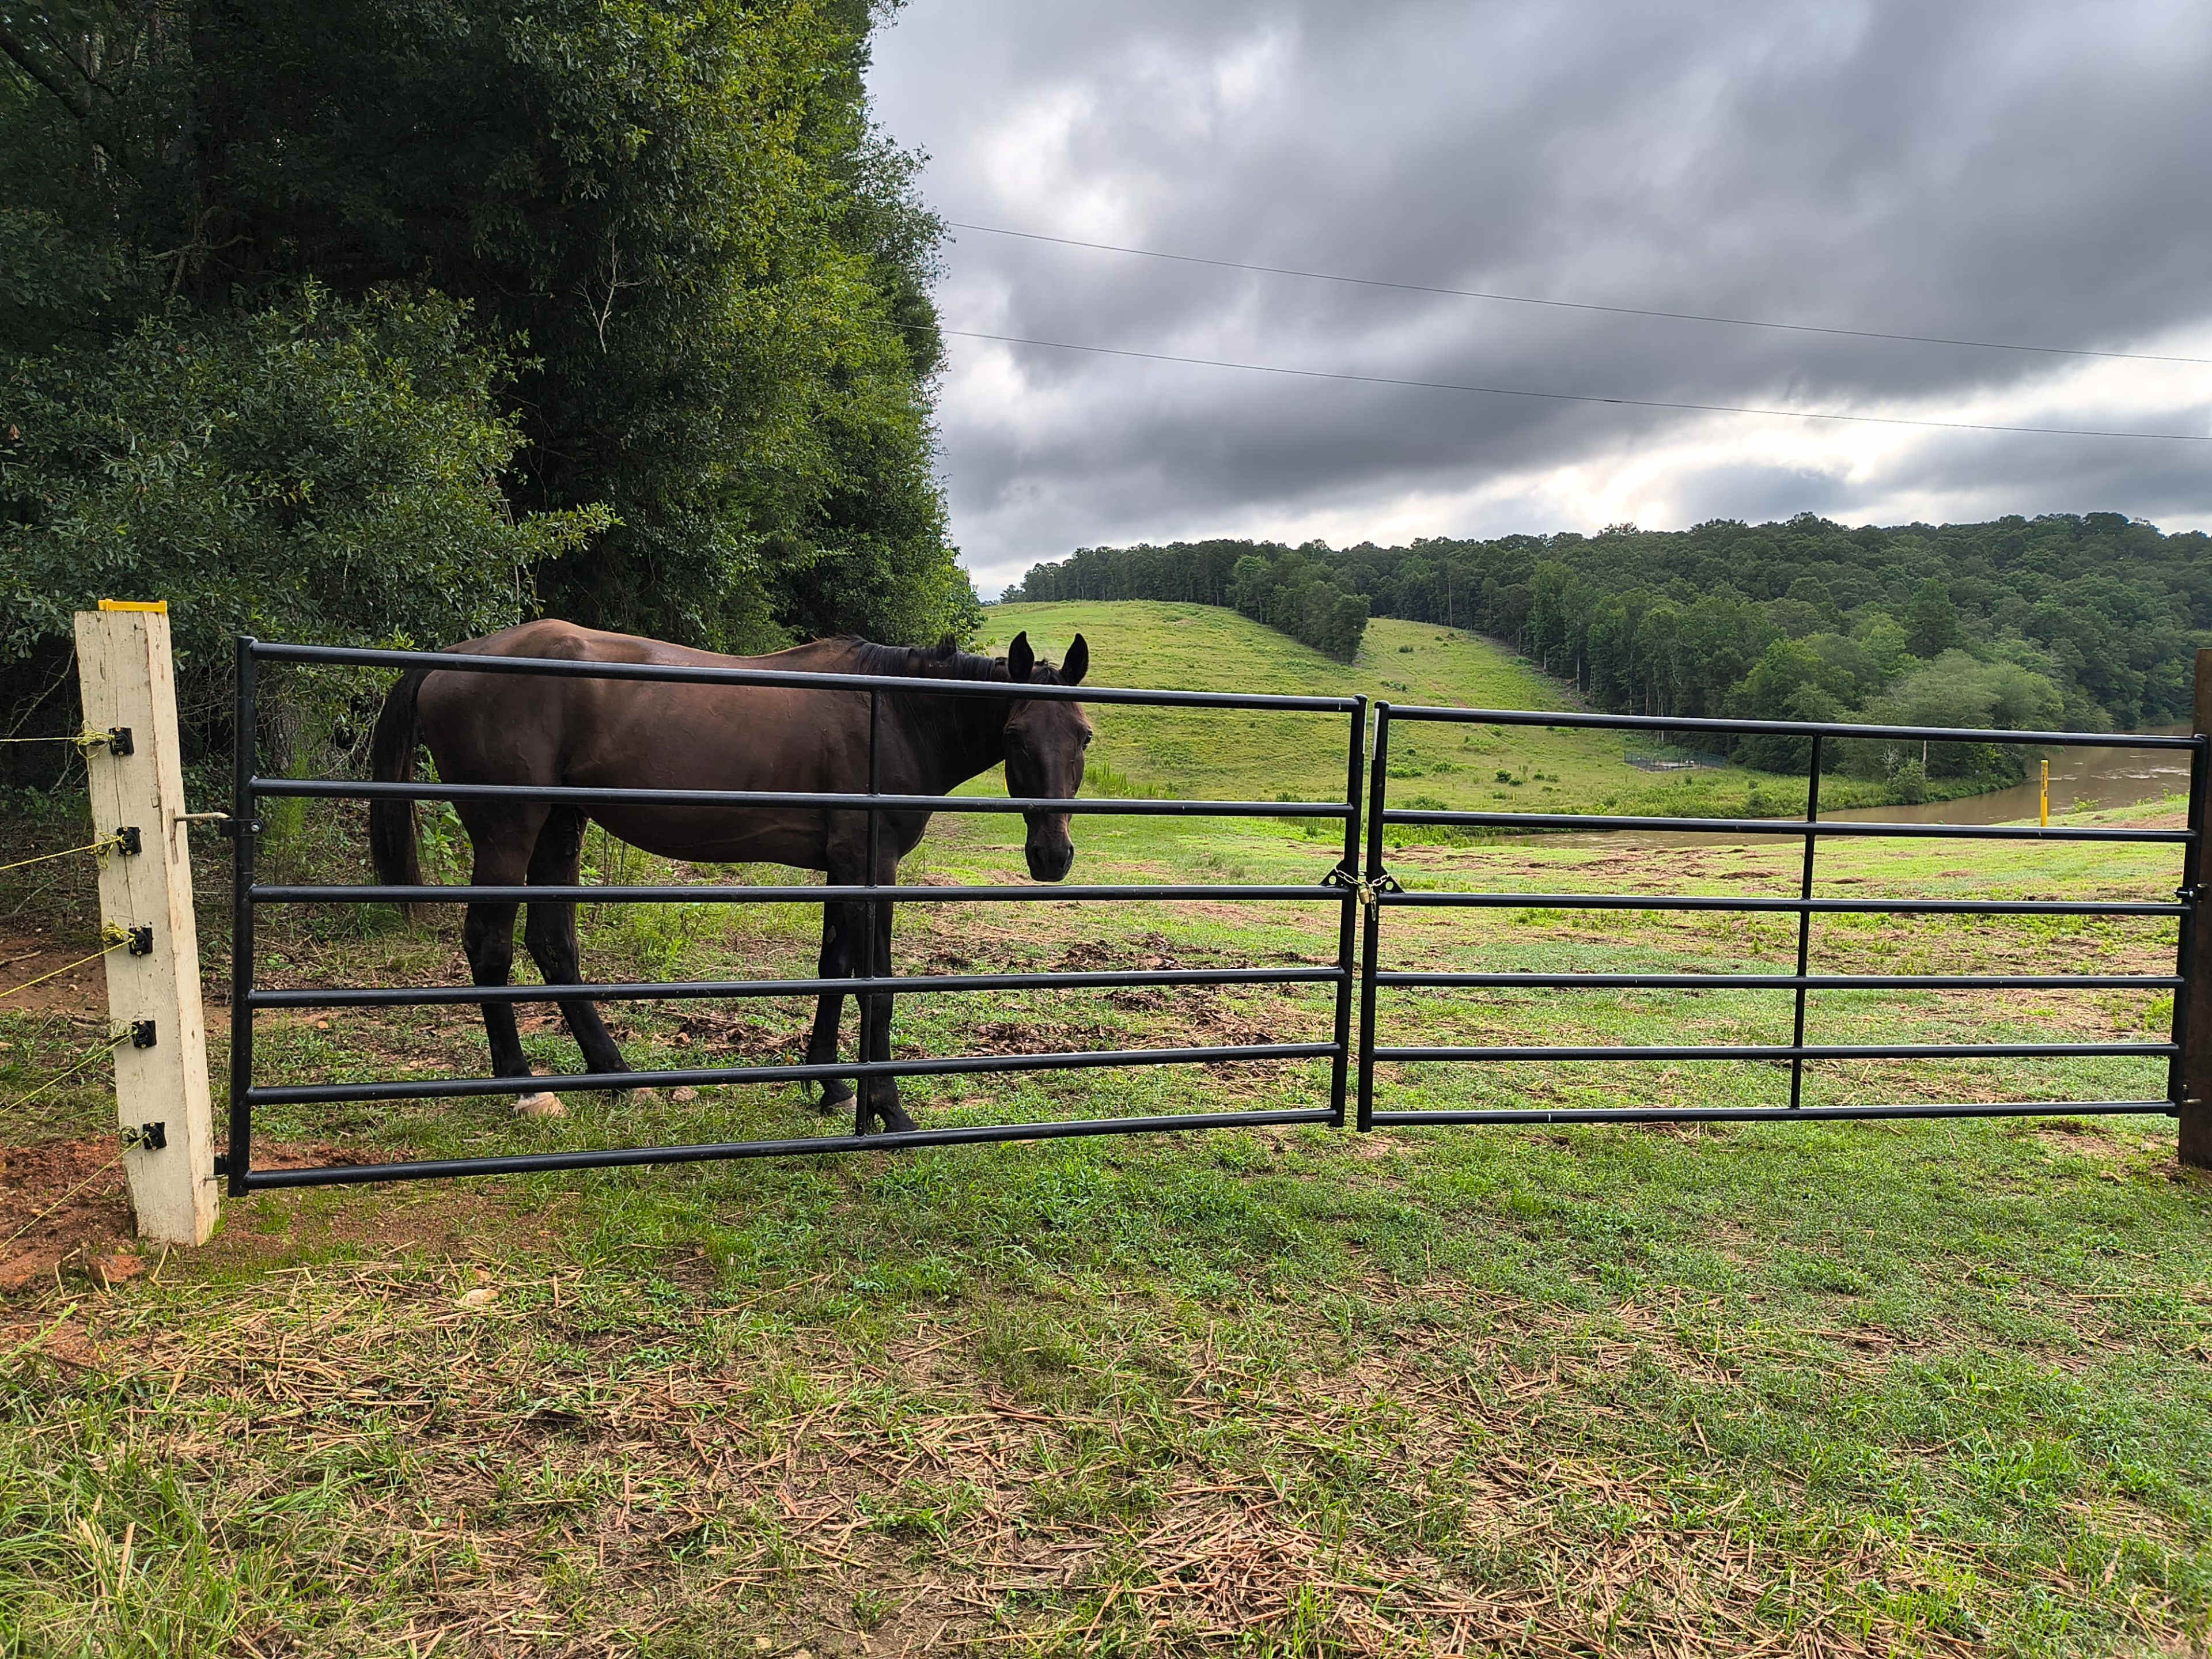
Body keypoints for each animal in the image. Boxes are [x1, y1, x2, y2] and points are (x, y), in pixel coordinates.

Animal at [365, 620, 1092, 1132]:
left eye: (1084, 736)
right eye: (1018, 736)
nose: (1052, 857)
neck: (894, 714)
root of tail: (457, 656)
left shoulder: (843, 868)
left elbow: (834, 972)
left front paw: (829, 1085)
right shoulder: (872, 865)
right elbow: (875, 987)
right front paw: (886, 1106)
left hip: (560, 828)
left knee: (553, 945)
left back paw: (614, 1075)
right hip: (509, 832)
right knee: (489, 944)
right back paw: (522, 1085)